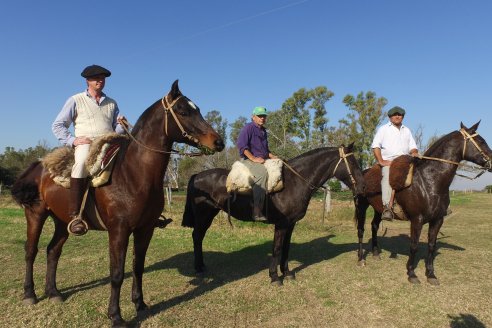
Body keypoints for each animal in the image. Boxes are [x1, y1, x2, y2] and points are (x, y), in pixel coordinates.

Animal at [11, 80, 225, 328]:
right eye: (182, 111)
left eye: (196, 108)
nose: (218, 142)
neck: (133, 174)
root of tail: (39, 166)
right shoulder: (119, 231)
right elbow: (117, 274)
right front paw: (116, 316)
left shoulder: (145, 229)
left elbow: (137, 267)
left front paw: (140, 304)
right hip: (35, 215)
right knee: (31, 251)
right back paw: (30, 294)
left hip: (62, 222)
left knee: (52, 251)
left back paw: (53, 292)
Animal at [181, 144, 366, 284]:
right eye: (352, 162)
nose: (362, 186)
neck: (294, 181)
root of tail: (197, 176)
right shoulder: (281, 224)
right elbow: (277, 249)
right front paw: (275, 276)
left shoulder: (290, 224)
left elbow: (286, 248)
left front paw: (287, 272)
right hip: (203, 215)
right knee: (197, 236)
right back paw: (198, 268)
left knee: (199, 236)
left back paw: (201, 266)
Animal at [354, 122, 492, 284]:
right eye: (481, 141)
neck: (429, 181)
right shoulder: (417, 220)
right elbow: (414, 246)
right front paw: (411, 273)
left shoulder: (438, 220)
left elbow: (431, 245)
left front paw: (431, 274)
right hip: (361, 207)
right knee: (361, 230)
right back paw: (361, 259)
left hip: (378, 209)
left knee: (374, 226)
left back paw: (376, 253)